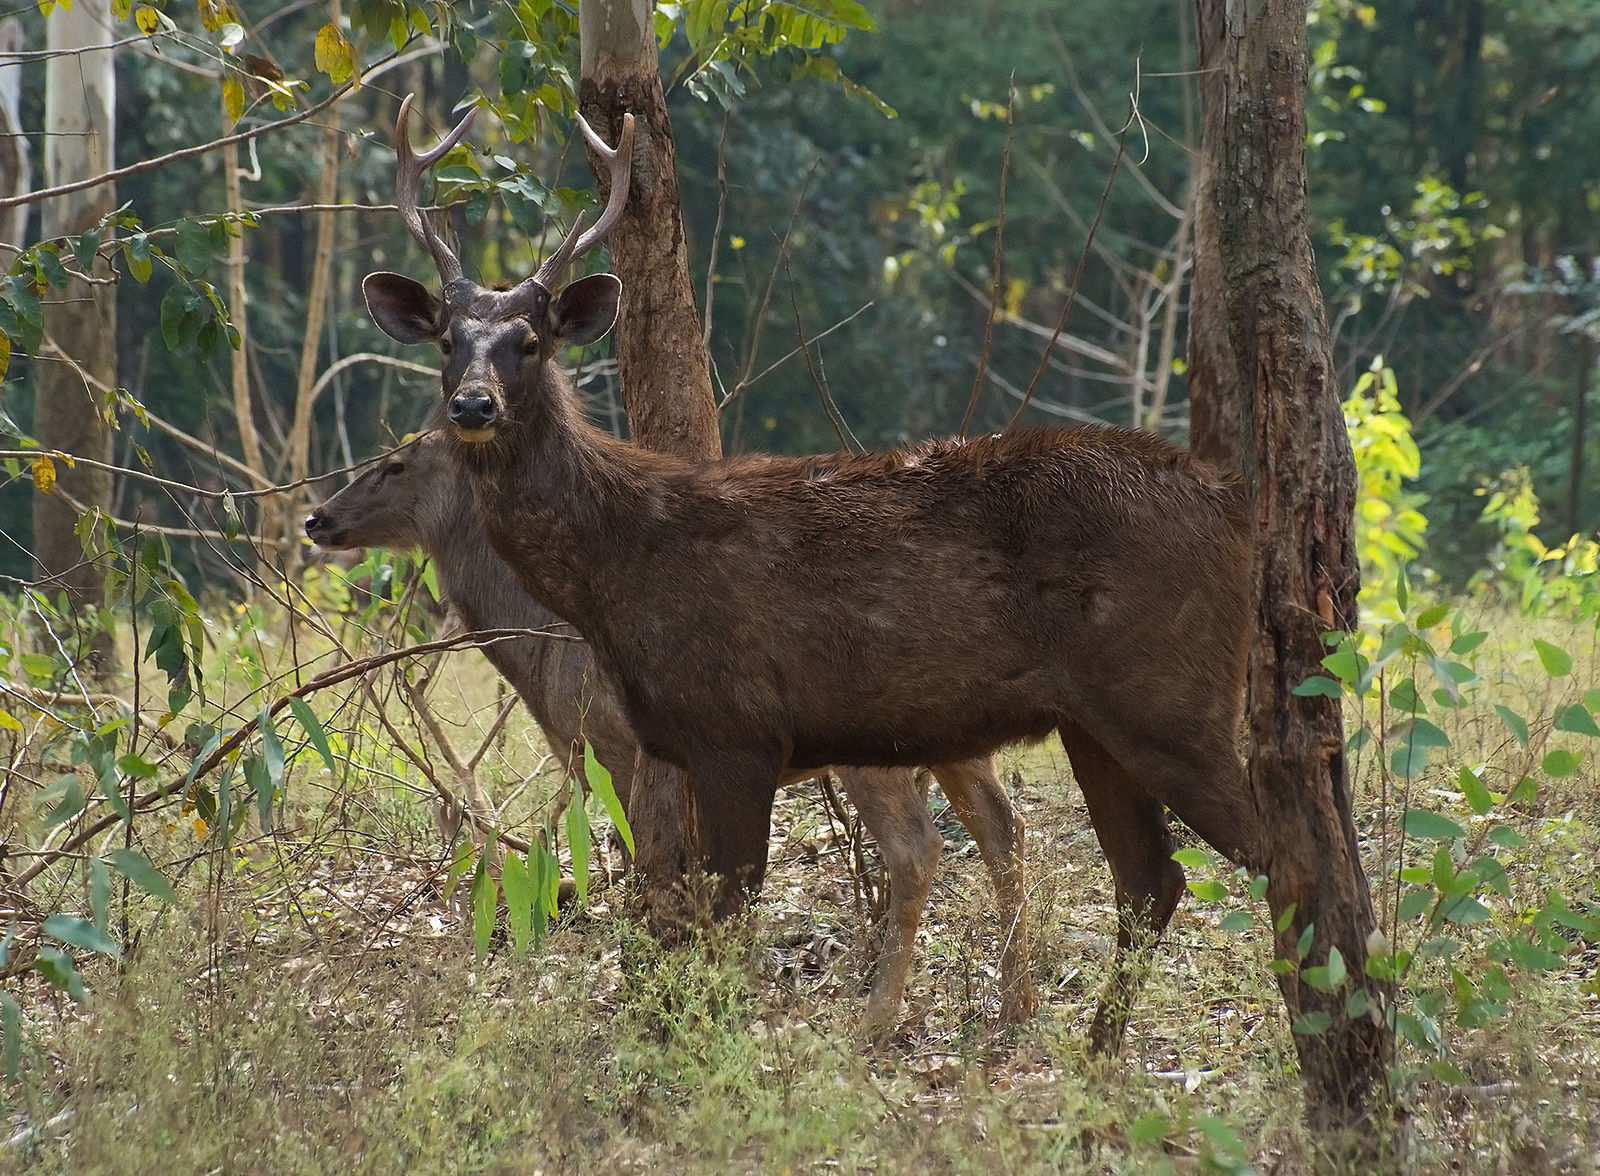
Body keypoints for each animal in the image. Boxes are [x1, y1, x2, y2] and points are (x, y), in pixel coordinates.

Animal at [302, 428, 1036, 1030]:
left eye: (395, 464)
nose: (317, 517)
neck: (542, 657)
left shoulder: (618, 746)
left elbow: (647, 866)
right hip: (952, 732)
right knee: (1004, 826)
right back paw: (1014, 1002)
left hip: (869, 734)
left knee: (918, 847)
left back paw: (880, 1017)